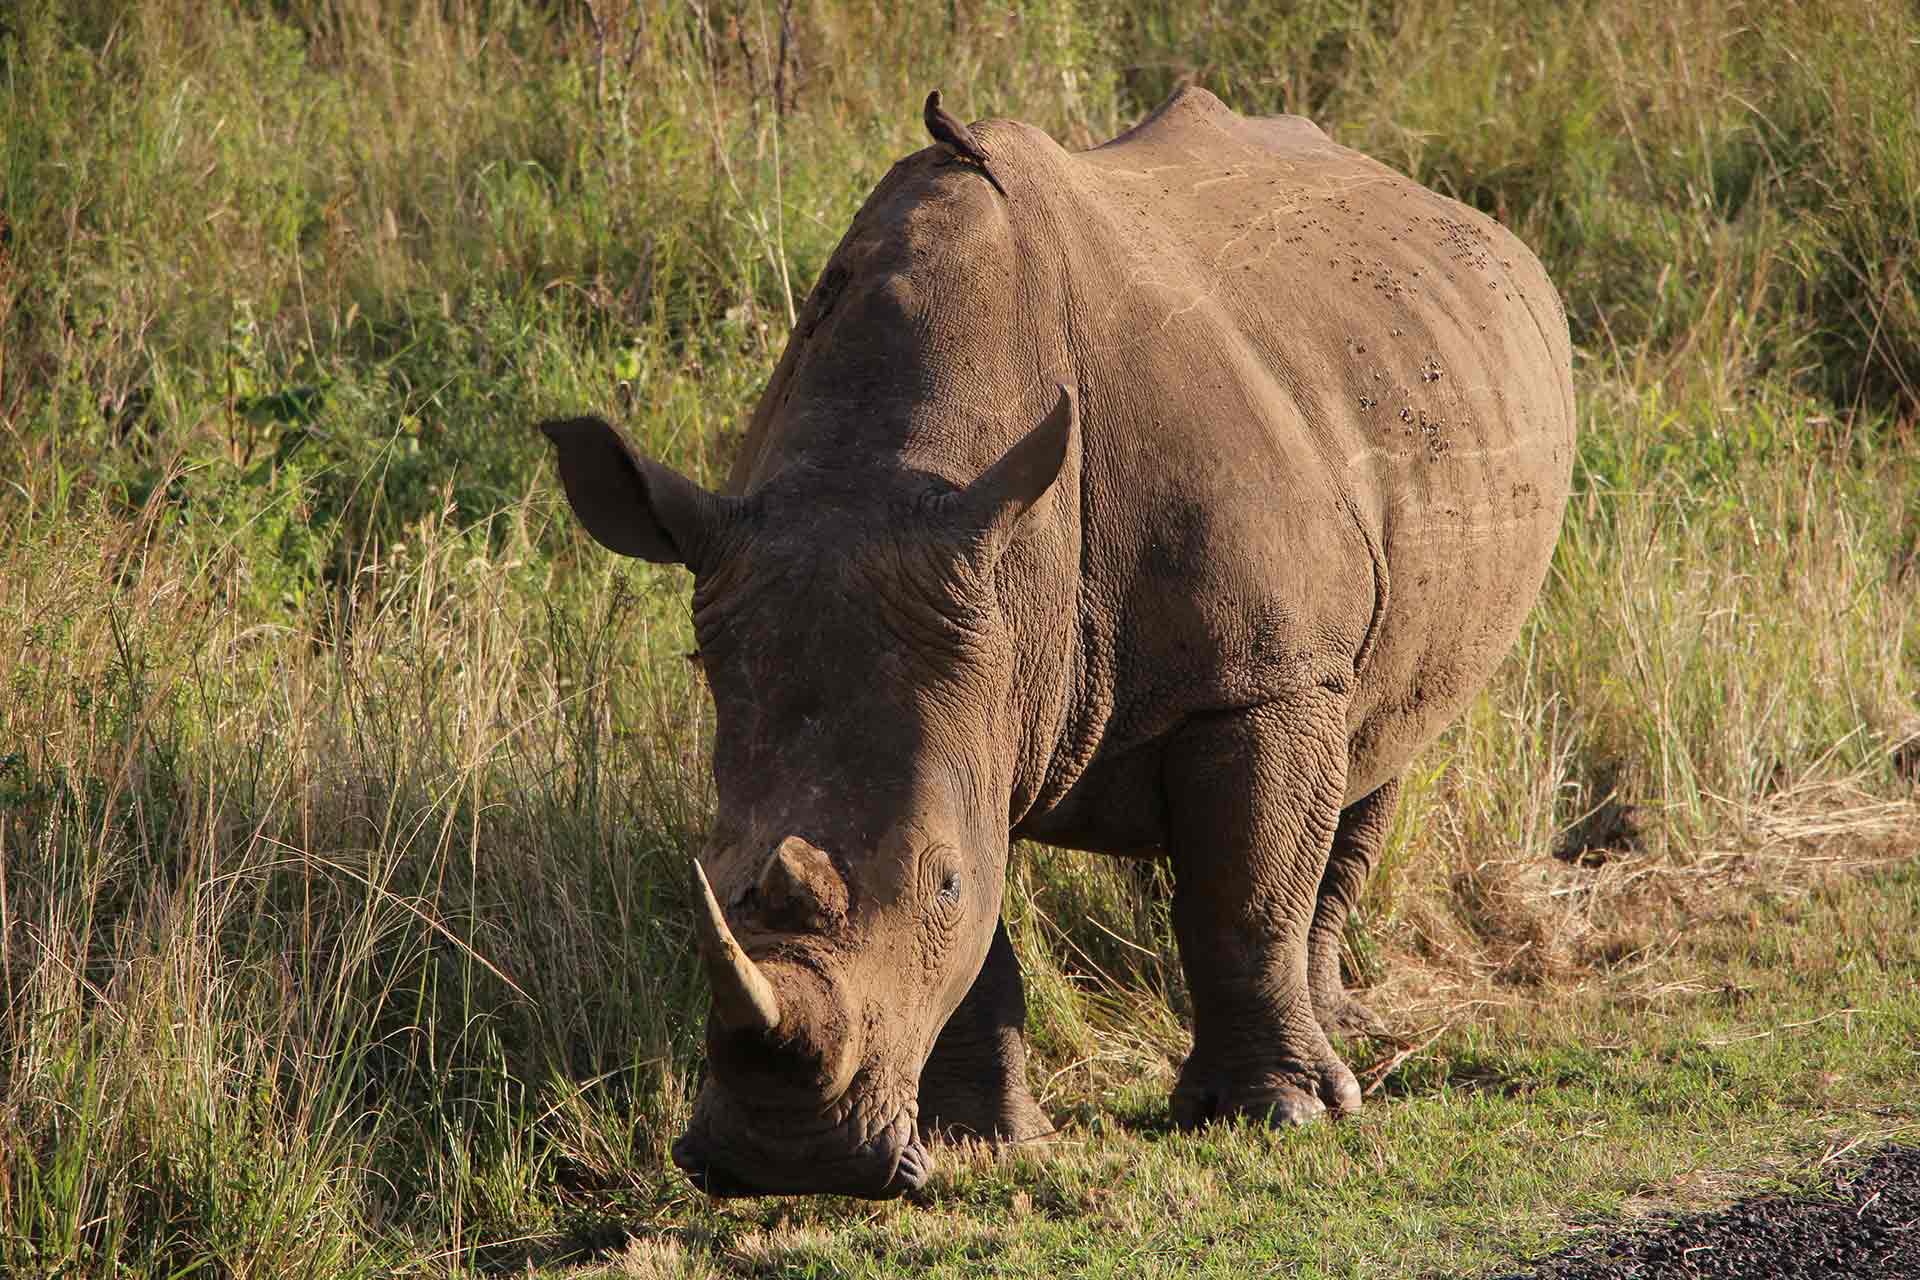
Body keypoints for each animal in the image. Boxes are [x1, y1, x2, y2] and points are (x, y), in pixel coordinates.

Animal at [541, 84, 1574, 1197]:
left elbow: (1243, 896)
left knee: (1382, 744)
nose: (786, 1160)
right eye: (710, 869)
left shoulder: (1264, 674)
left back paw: (1343, 1050)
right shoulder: (971, 683)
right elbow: (985, 947)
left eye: (940, 879)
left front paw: (1276, 1114)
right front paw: (986, 1141)